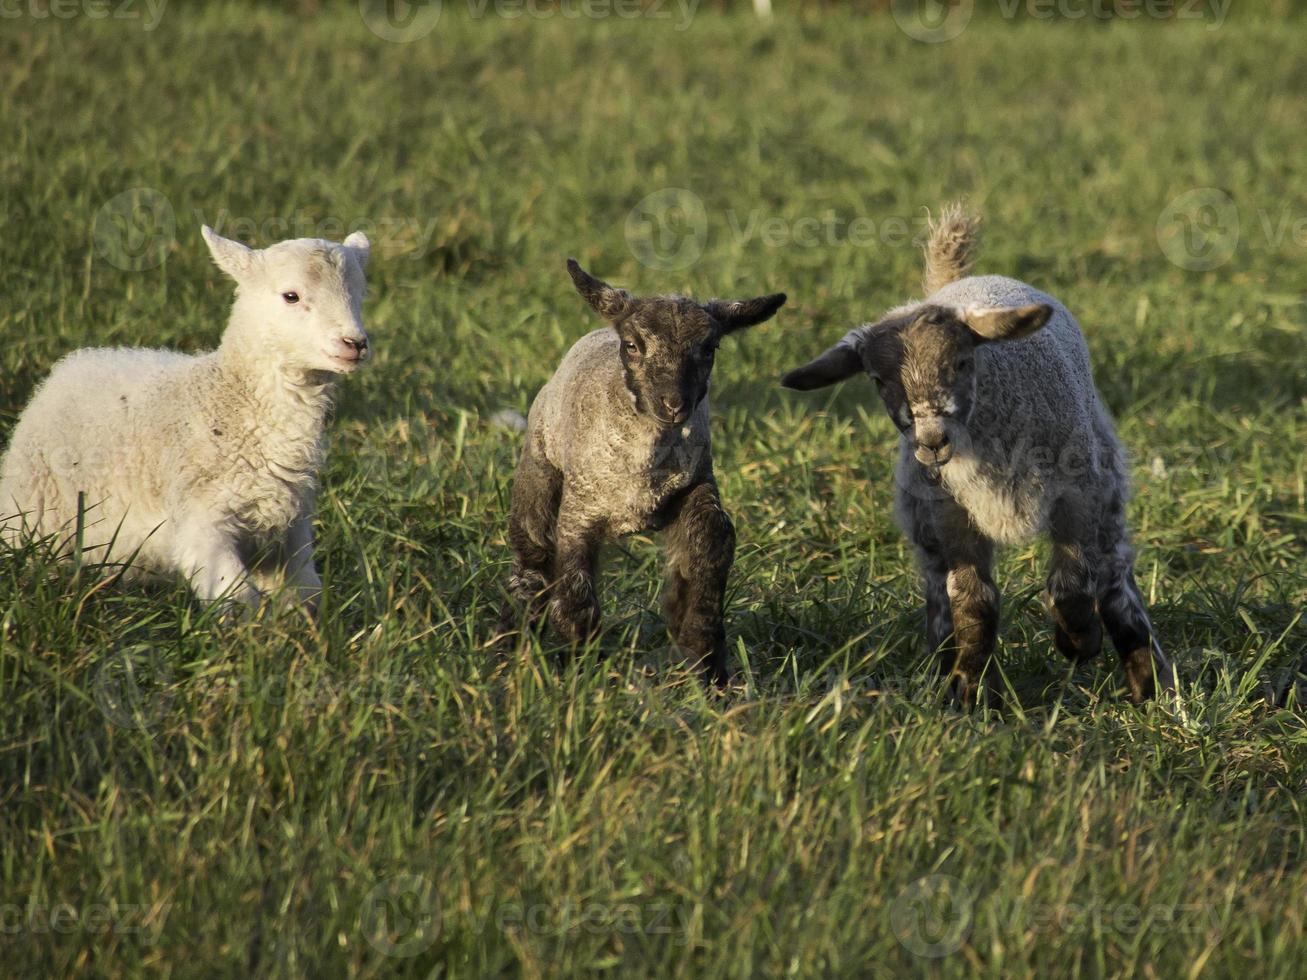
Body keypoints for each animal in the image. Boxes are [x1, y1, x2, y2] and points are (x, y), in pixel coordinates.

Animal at [0, 227, 373, 614]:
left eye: (360, 294)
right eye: (291, 296)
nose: (355, 343)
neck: (233, 405)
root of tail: (66, 369)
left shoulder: (291, 525)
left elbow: (307, 595)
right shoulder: (203, 518)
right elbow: (238, 599)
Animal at [501, 265, 784, 684]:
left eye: (710, 348)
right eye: (633, 345)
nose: (674, 404)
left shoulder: (698, 484)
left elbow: (713, 539)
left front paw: (703, 653)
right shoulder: (579, 513)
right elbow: (575, 585)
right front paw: (581, 665)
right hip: (539, 462)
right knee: (531, 553)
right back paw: (512, 641)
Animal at [778, 203, 1171, 705]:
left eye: (962, 362)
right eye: (879, 381)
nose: (931, 442)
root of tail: (952, 284)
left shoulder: (1079, 492)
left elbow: (1071, 581)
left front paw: (1078, 642)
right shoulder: (951, 510)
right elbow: (972, 597)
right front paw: (969, 686)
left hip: (1107, 480)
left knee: (1113, 573)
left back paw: (1149, 682)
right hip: (922, 515)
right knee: (939, 589)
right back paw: (945, 667)